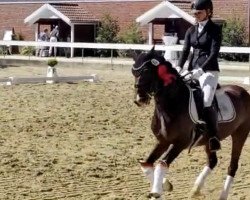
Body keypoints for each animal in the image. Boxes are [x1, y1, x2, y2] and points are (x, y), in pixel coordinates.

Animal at [132, 47, 249, 200]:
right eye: (133, 72)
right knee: (212, 161)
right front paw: (165, 185)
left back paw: (222, 195)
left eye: (146, 70)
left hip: (240, 135)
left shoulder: (181, 143)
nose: (139, 99)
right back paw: (196, 189)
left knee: (233, 166)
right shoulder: (163, 141)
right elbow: (146, 165)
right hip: (209, 141)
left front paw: (157, 191)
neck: (173, 104)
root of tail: (243, 91)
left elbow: (162, 164)